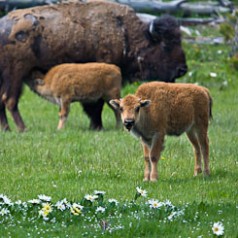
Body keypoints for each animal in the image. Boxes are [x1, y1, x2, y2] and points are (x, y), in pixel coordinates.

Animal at [0, 0, 187, 131]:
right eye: (165, 45)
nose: (182, 69)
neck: (124, 33)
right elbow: (96, 105)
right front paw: (97, 127)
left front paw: (95, 127)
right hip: (16, 74)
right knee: (10, 100)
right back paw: (22, 128)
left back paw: (7, 129)